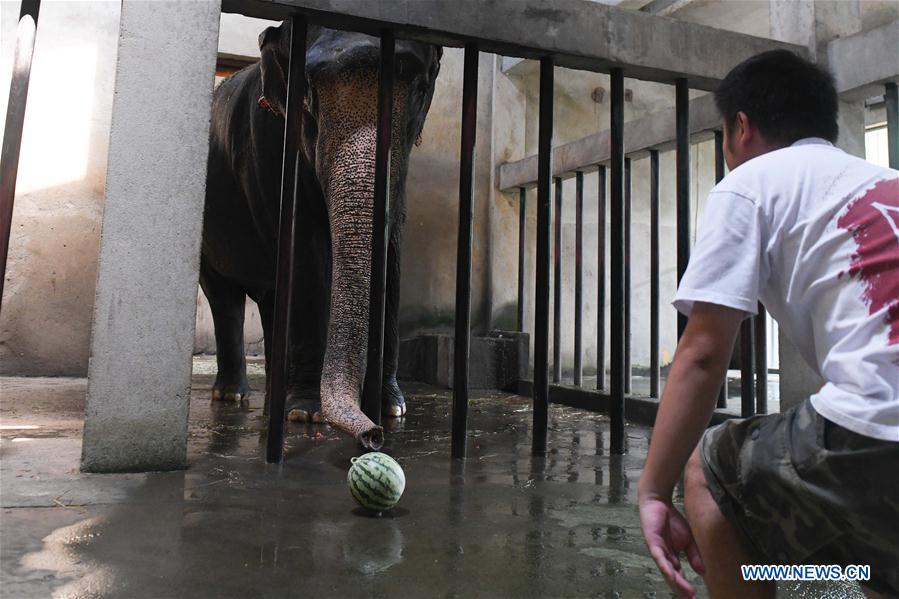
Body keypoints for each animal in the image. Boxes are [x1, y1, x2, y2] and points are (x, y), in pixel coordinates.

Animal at [202, 19, 444, 450]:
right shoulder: (270, 146)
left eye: (419, 88)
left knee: (270, 298)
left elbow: (392, 247)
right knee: (224, 295)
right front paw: (305, 412)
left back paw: (272, 398)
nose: (373, 437)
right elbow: (306, 251)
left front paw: (391, 408)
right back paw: (234, 396)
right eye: (308, 94)